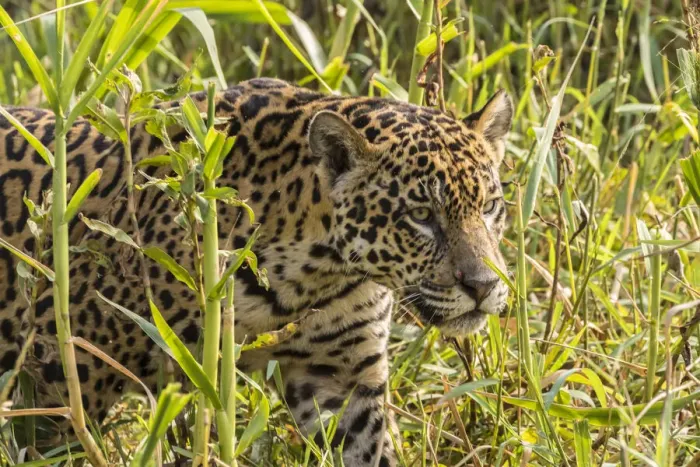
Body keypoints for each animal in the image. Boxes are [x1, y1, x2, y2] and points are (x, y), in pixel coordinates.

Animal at [0, 78, 513, 466]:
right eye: (421, 216)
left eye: (490, 207)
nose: (484, 286)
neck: (317, 273)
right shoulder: (66, 365)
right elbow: (54, 445)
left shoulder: (342, 375)